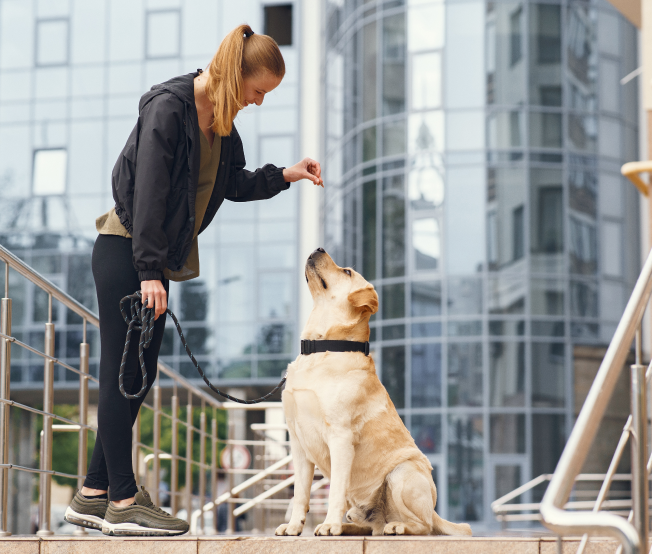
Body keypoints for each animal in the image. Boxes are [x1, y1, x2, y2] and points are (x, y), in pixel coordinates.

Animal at [272, 248, 472, 532]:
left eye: (347, 272)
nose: (319, 249)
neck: (322, 347)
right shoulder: (299, 443)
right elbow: (300, 493)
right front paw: (293, 527)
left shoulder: (341, 437)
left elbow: (335, 491)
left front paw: (329, 525)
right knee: (371, 525)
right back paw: (349, 528)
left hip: (402, 474)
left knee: (423, 526)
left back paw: (397, 528)